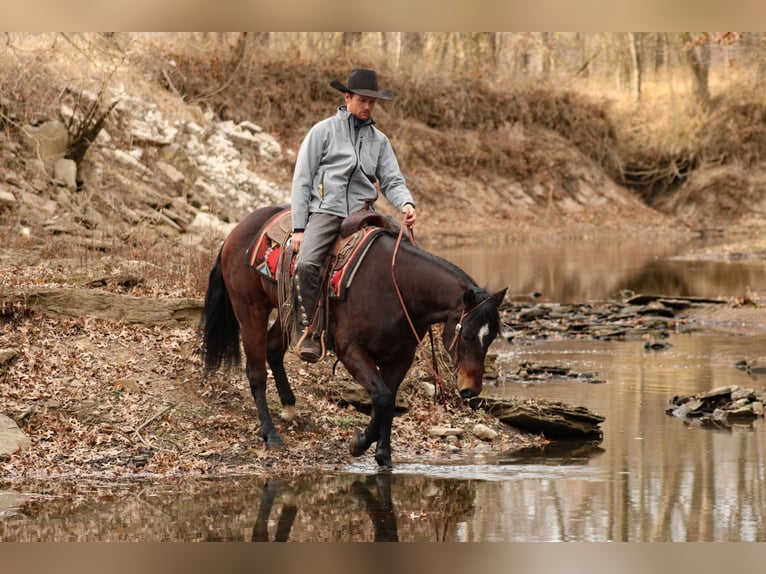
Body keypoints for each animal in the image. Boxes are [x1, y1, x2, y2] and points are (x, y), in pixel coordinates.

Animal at [201, 205, 507, 469]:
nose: (471, 389)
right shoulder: (350, 350)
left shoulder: (400, 358)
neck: (398, 287)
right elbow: (381, 397)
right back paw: (272, 435)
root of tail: (236, 233)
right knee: (256, 373)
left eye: (491, 337)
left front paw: (383, 455)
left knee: (274, 349)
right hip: (250, 309)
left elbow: (388, 400)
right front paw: (359, 443)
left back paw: (289, 406)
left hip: (289, 311)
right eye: (466, 335)